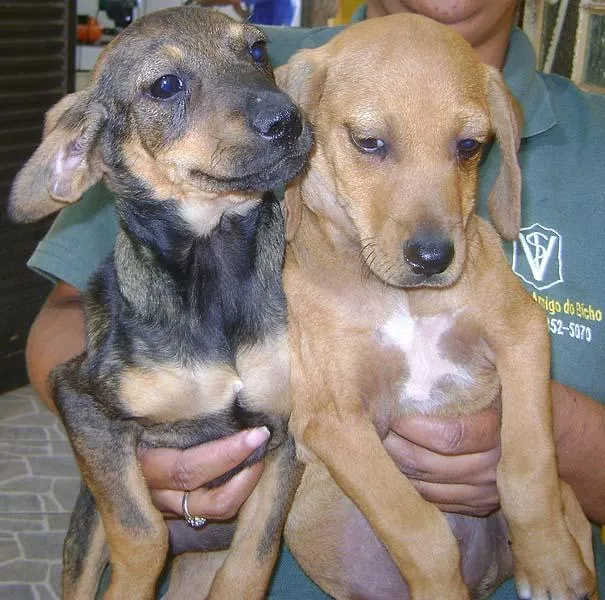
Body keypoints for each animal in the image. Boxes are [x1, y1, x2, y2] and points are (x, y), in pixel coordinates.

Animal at [8, 5, 312, 600]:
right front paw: (132, 581)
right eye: (166, 86)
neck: (215, 267)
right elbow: (141, 530)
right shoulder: (81, 401)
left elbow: (254, 557)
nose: (288, 120)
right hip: (85, 527)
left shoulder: (289, 429)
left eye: (257, 50)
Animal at [278, 12, 596, 600]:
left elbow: (527, 464)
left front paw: (548, 562)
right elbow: (419, 529)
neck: (405, 301)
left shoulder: (521, 334)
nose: (432, 257)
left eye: (469, 146)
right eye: (369, 142)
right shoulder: (335, 420)